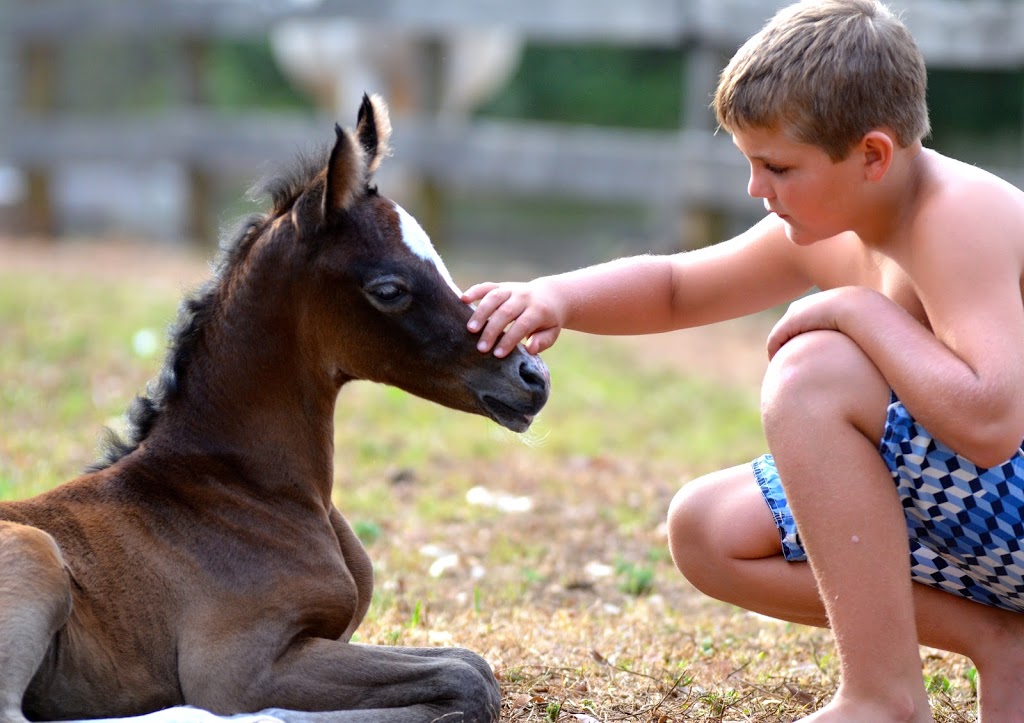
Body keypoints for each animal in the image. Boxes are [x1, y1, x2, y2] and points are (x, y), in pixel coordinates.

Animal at [0, 95, 552, 720]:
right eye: (389, 289)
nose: (533, 377)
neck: (247, 487)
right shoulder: (239, 667)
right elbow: (467, 679)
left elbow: (467, 664)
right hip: (34, 553)